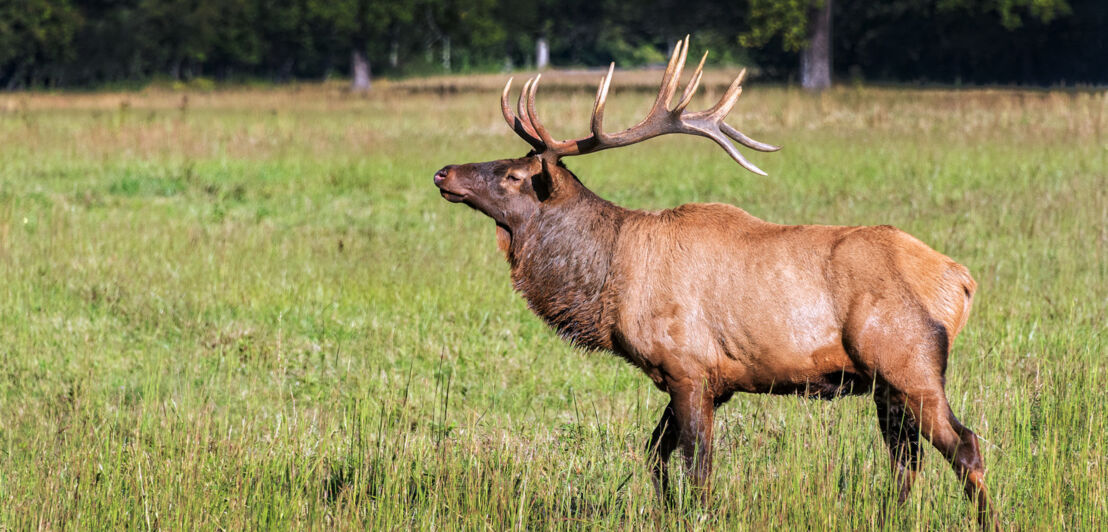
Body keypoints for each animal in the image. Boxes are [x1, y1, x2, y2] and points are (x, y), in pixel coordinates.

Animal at [434, 36, 1006, 527]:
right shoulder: (705, 380)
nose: (443, 173)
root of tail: (961, 280)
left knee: (964, 445)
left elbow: (699, 468)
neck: (609, 284)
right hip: (885, 385)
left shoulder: (688, 366)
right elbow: (654, 454)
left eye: (514, 175)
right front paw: (667, 512)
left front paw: (696, 514)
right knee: (906, 459)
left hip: (908, 360)